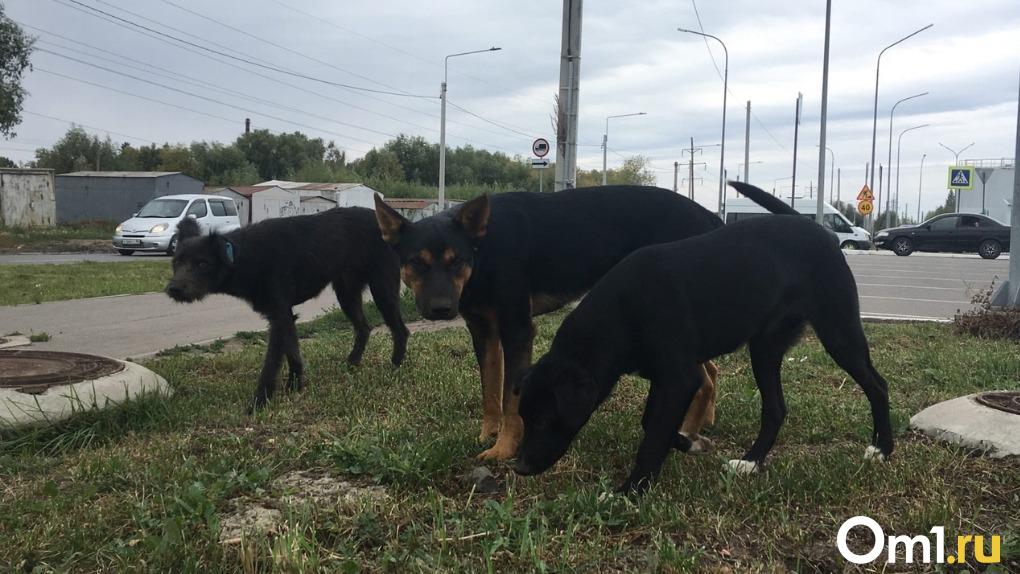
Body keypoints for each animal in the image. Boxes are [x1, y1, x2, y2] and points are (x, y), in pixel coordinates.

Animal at [165, 209, 408, 411]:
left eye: (202, 264)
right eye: (176, 263)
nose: (173, 289)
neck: (241, 255)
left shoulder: (279, 316)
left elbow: (271, 365)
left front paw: (259, 403)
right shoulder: (284, 315)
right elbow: (293, 354)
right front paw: (294, 386)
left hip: (382, 289)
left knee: (400, 330)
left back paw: (395, 366)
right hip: (347, 293)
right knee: (363, 328)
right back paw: (351, 364)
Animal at [373, 185, 779, 462]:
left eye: (455, 260)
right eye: (416, 262)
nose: (441, 309)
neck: (483, 248)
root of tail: (709, 215)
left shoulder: (517, 330)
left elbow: (509, 399)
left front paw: (504, 449)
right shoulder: (483, 332)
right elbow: (490, 390)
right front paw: (486, 435)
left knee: (703, 379)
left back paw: (686, 431)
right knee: (710, 374)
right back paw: (696, 427)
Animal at [514, 180, 889, 493]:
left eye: (543, 418)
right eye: (523, 417)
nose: (519, 467)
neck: (621, 312)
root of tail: (818, 230)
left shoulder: (678, 378)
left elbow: (652, 437)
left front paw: (629, 492)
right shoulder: (671, 377)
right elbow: (651, 423)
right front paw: (690, 444)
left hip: (839, 332)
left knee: (877, 384)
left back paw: (881, 449)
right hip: (765, 348)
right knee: (775, 408)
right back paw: (750, 463)